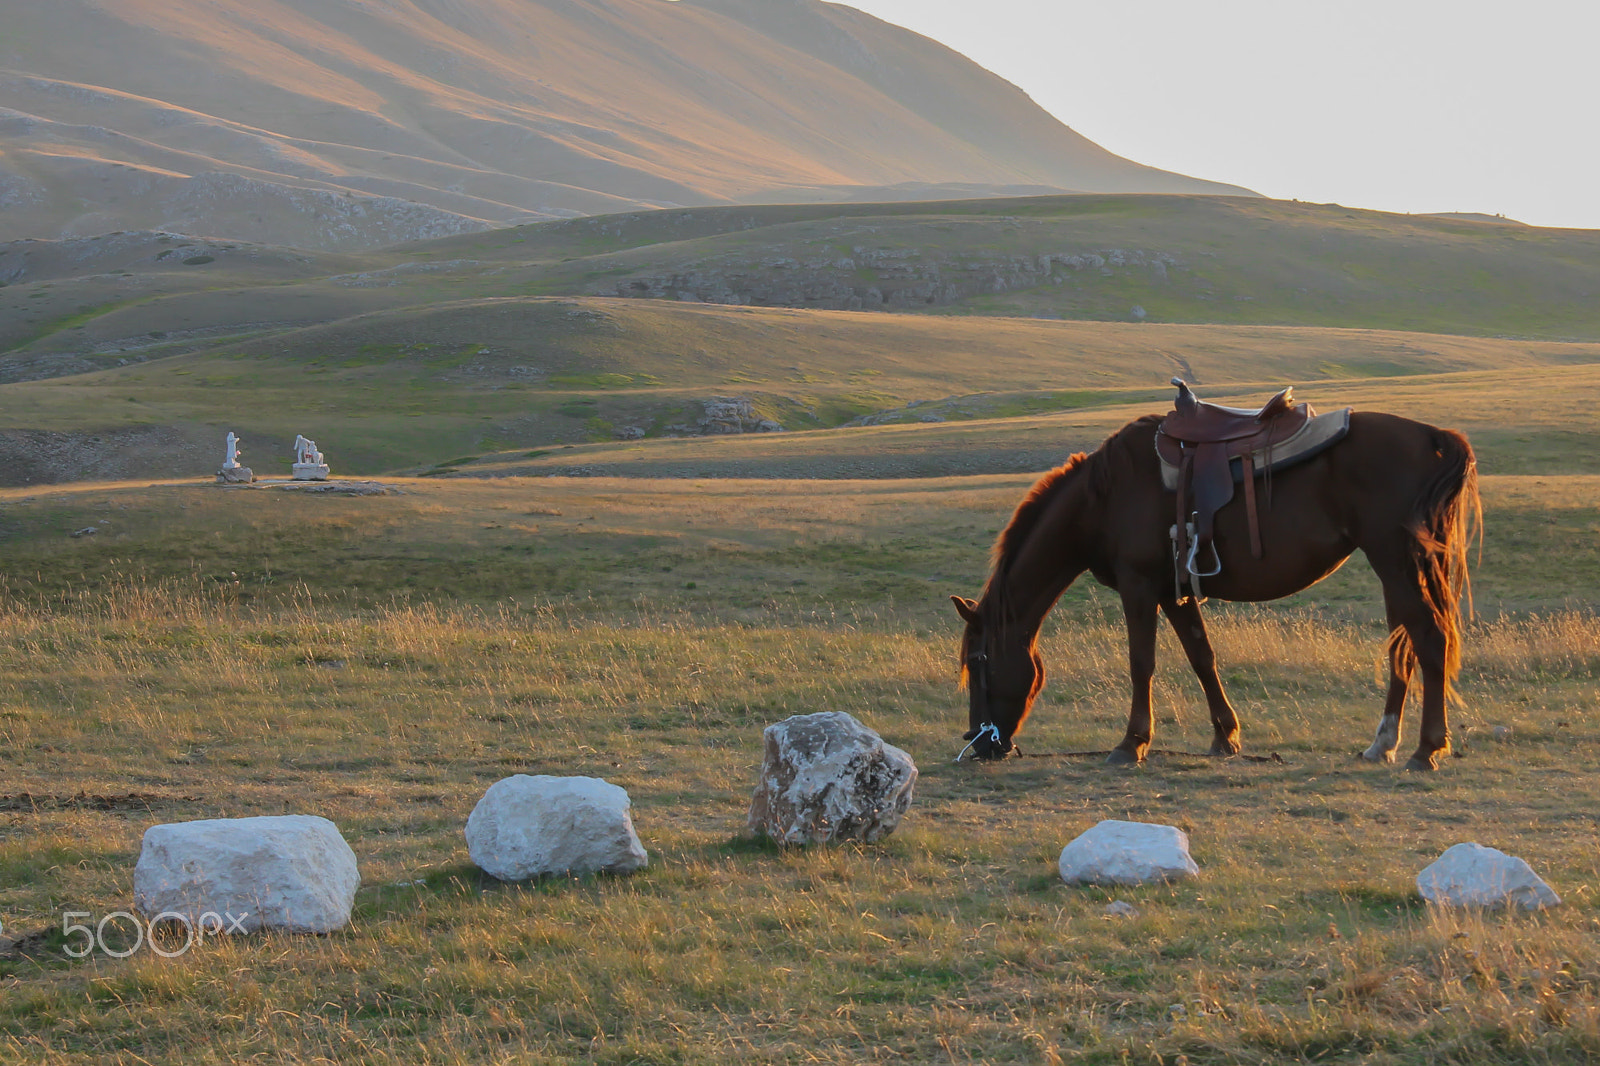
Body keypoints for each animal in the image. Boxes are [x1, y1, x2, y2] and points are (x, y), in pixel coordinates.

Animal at [950, 405, 1479, 771]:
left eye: (978, 661)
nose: (979, 743)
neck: (1104, 498)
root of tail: (1432, 437)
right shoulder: (1171, 590)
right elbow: (1201, 656)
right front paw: (1226, 737)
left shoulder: (1138, 586)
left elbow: (1141, 663)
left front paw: (1131, 744)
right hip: (1401, 570)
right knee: (1403, 649)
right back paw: (1382, 744)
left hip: (1396, 562)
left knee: (1429, 640)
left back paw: (1426, 749)